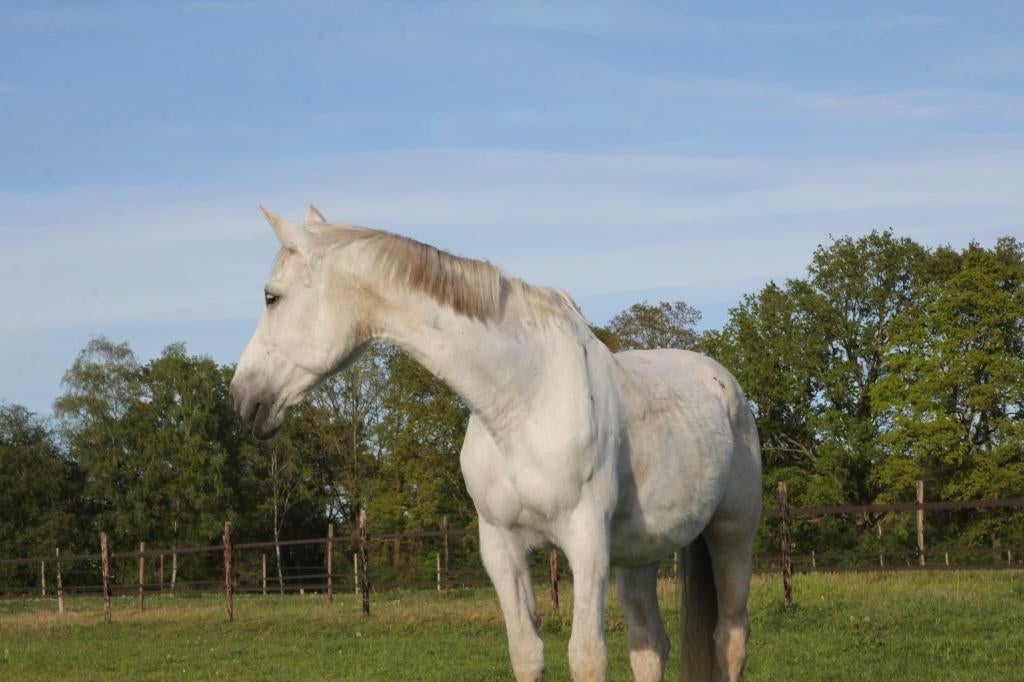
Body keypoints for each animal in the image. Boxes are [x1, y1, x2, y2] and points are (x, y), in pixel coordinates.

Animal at [230, 205, 762, 682]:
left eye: (271, 297)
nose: (241, 397)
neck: (523, 401)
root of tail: (723, 383)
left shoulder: (587, 543)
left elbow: (587, 658)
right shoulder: (501, 547)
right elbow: (527, 654)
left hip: (732, 533)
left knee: (730, 640)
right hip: (640, 554)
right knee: (650, 646)